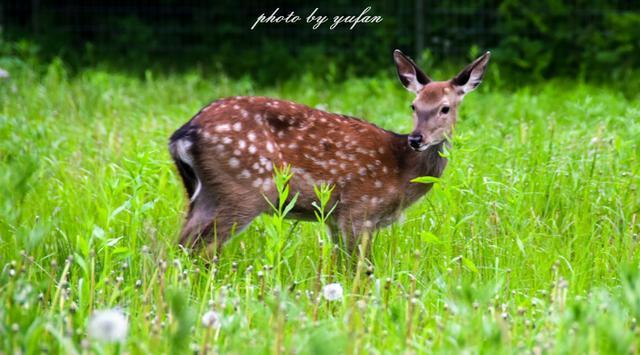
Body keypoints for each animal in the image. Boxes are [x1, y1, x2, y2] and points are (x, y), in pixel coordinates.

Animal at [170, 49, 490, 256]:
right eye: (414, 105)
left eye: (445, 108)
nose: (416, 138)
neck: (402, 171)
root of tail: (182, 135)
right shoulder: (359, 208)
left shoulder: (336, 218)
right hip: (243, 189)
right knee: (200, 248)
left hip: (204, 193)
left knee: (177, 246)